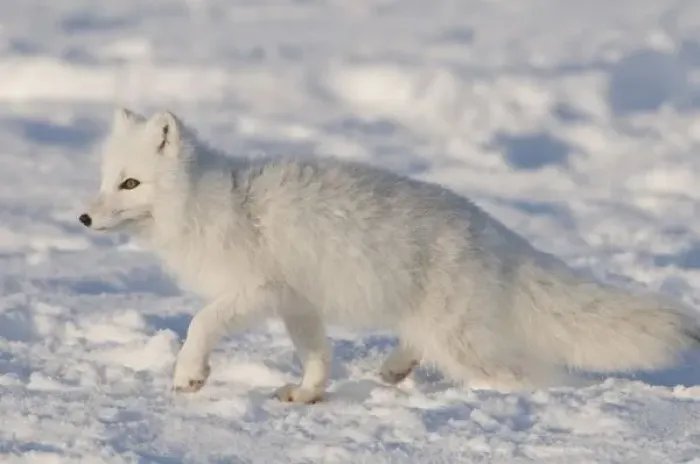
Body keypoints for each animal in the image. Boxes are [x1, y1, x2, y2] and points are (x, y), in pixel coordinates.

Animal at [79, 107, 700, 403]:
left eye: (131, 183)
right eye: (106, 180)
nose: (83, 218)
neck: (215, 200)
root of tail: (495, 231)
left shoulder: (257, 289)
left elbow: (199, 322)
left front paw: (189, 376)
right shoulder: (299, 303)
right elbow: (316, 353)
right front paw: (308, 393)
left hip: (462, 343)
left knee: (526, 377)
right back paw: (395, 367)